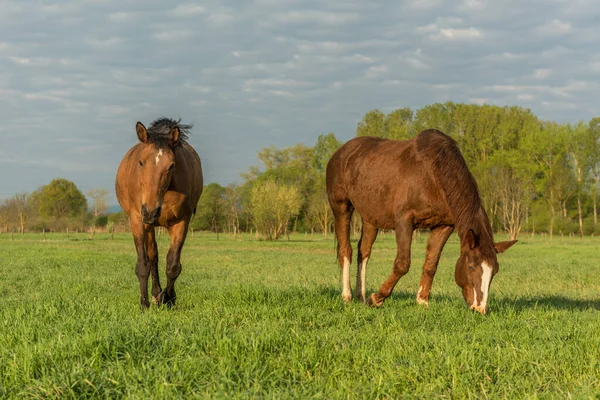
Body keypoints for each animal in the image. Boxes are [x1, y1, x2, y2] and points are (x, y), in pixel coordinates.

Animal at [115, 117, 204, 308]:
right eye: (141, 162)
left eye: (171, 165)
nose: (150, 211)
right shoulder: (138, 221)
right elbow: (143, 264)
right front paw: (144, 304)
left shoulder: (181, 222)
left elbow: (173, 265)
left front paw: (169, 298)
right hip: (148, 225)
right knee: (152, 256)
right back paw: (155, 294)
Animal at [326, 130, 516, 314]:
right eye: (471, 266)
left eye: (495, 271)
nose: (480, 309)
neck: (432, 175)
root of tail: (341, 152)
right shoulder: (404, 221)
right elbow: (402, 264)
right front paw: (376, 298)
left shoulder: (444, 226)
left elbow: (431, 264)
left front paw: (422, 302)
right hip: (341, 208)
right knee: (345, 250)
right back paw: (347, 296)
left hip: (370, 217)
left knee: (363, 251)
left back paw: (361, 296)